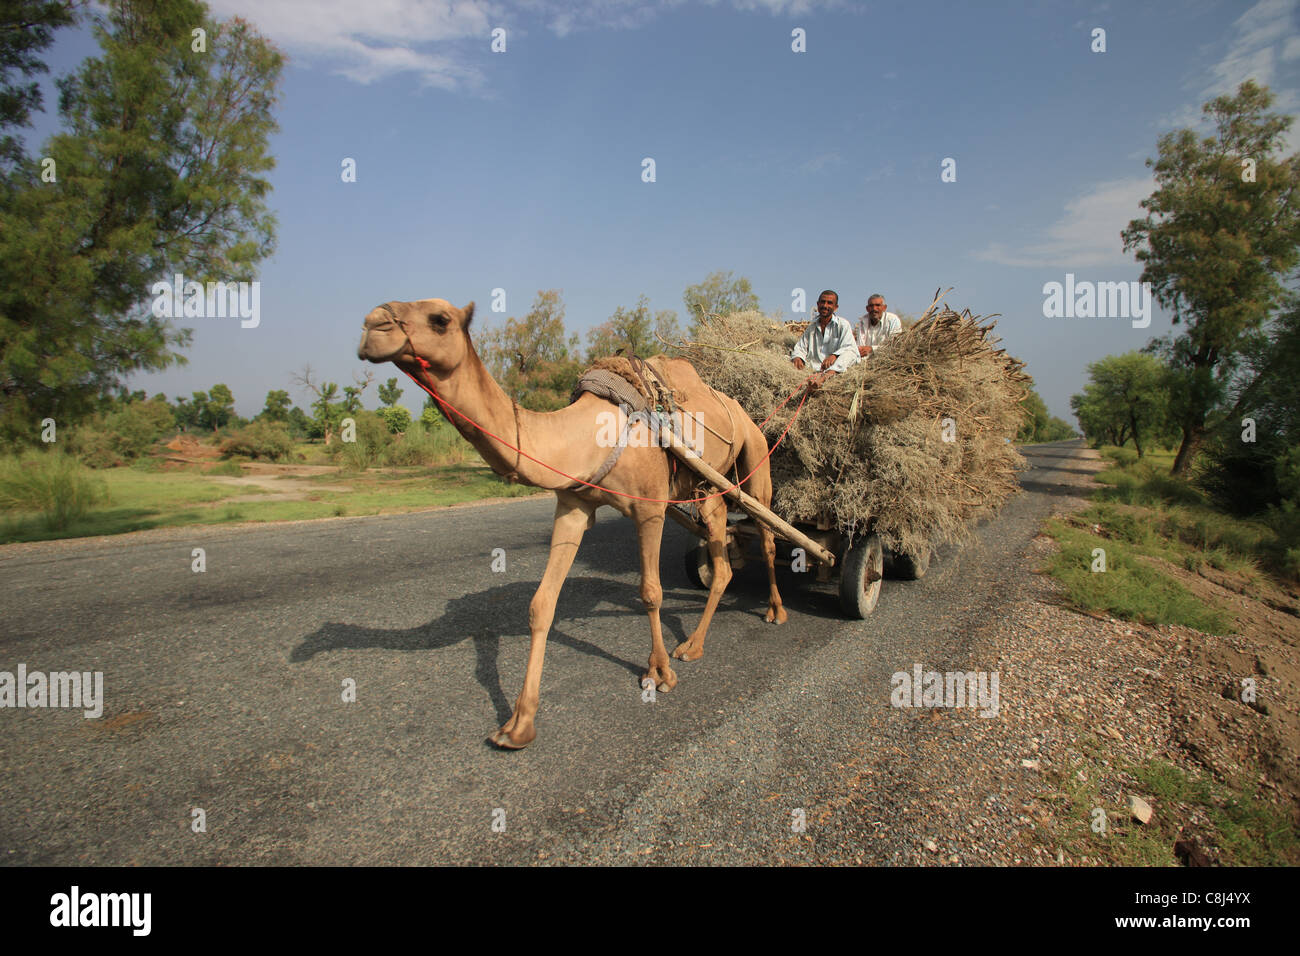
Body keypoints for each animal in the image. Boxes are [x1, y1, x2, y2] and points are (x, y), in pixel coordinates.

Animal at [356, 297, 785, 749]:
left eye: (439, 320)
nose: (373, 326)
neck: (589, 432)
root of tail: (737, 406)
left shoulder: (650, 507)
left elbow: (651, 593)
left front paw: (659, 673)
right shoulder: (572, 506)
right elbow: (541, 604)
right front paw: (518, 724)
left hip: (756, 454)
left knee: (768, 533)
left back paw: (773, 611)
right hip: (708, 488)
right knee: (721, 552)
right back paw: (694, 644)